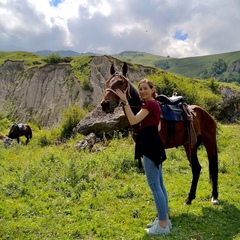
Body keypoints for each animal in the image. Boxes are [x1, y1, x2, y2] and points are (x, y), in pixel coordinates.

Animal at [100, 62, 218, 205]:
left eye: (121, 83)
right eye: (107, 82)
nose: (105, 104)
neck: (140, 113)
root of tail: (204, 113)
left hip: (209, 142)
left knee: (213, 166)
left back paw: (214, 197)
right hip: (190, 145)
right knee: (196, 168)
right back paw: (189, 198)